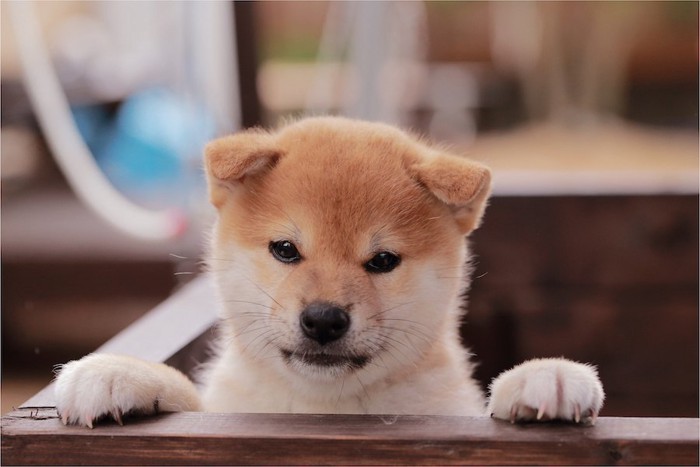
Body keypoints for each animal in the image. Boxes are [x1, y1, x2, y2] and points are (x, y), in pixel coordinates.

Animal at [54, 116, 604, 428]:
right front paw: (118, 372)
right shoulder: (225, 409)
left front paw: (546, 375)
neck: (324, 409)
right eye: (285, 249)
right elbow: (189, 398)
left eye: (382, 261)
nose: (323, 319)